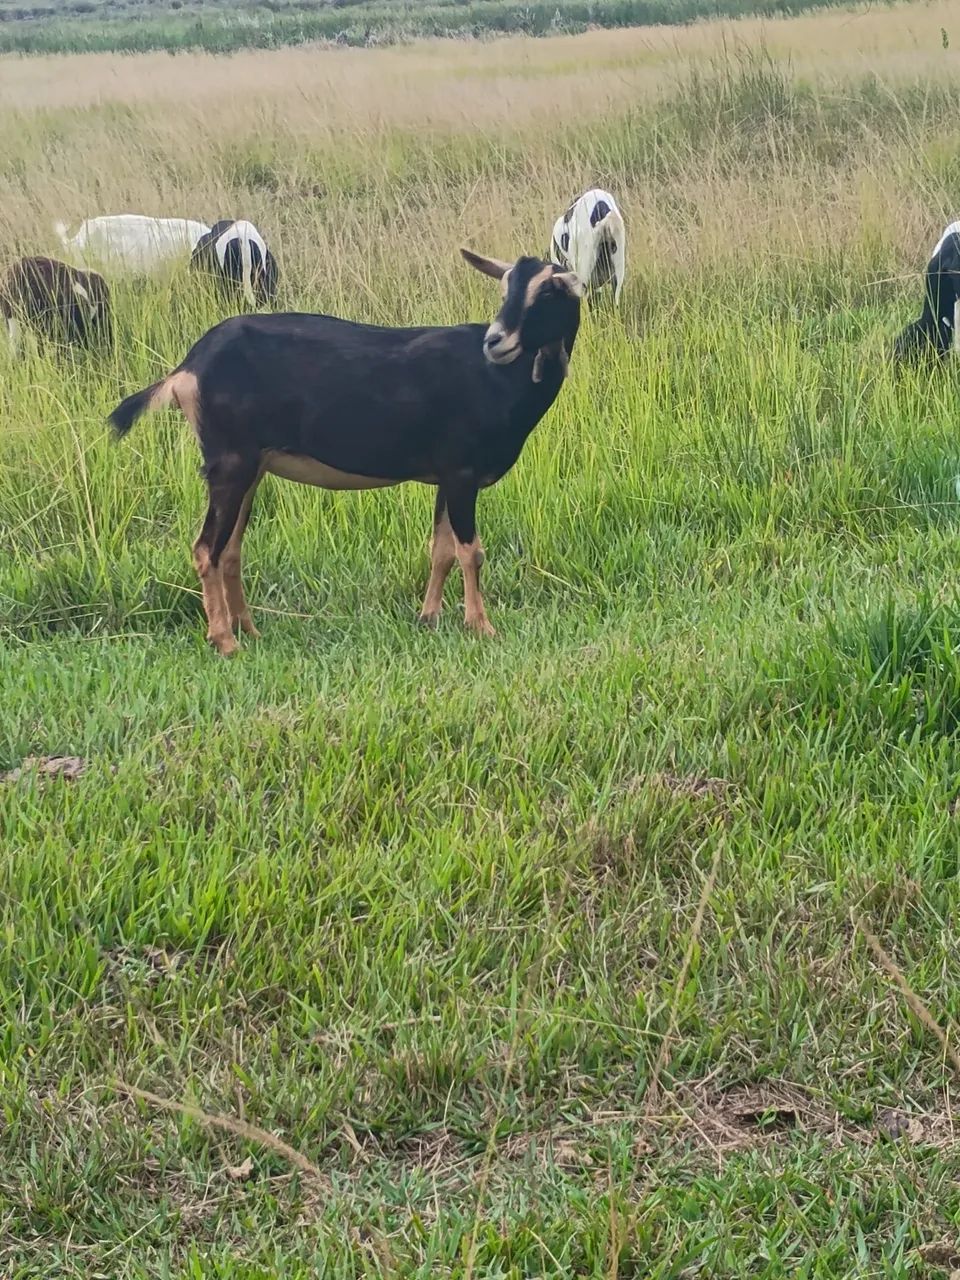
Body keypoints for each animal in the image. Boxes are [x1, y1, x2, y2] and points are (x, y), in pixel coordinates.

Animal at [108, 249, 582, 655]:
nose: (495, 341)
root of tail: (188, 368)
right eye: (505, 290)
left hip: (250, 467)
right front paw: (481, 626)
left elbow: (441, 550)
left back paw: (249, 630)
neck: (496, 380)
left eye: (549, 292)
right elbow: (472, 552)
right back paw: (225, 641)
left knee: (230, 548)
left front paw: (428, 618)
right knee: (207, 547)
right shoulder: (463, 473)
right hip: (229, 462)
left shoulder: (446, 476)